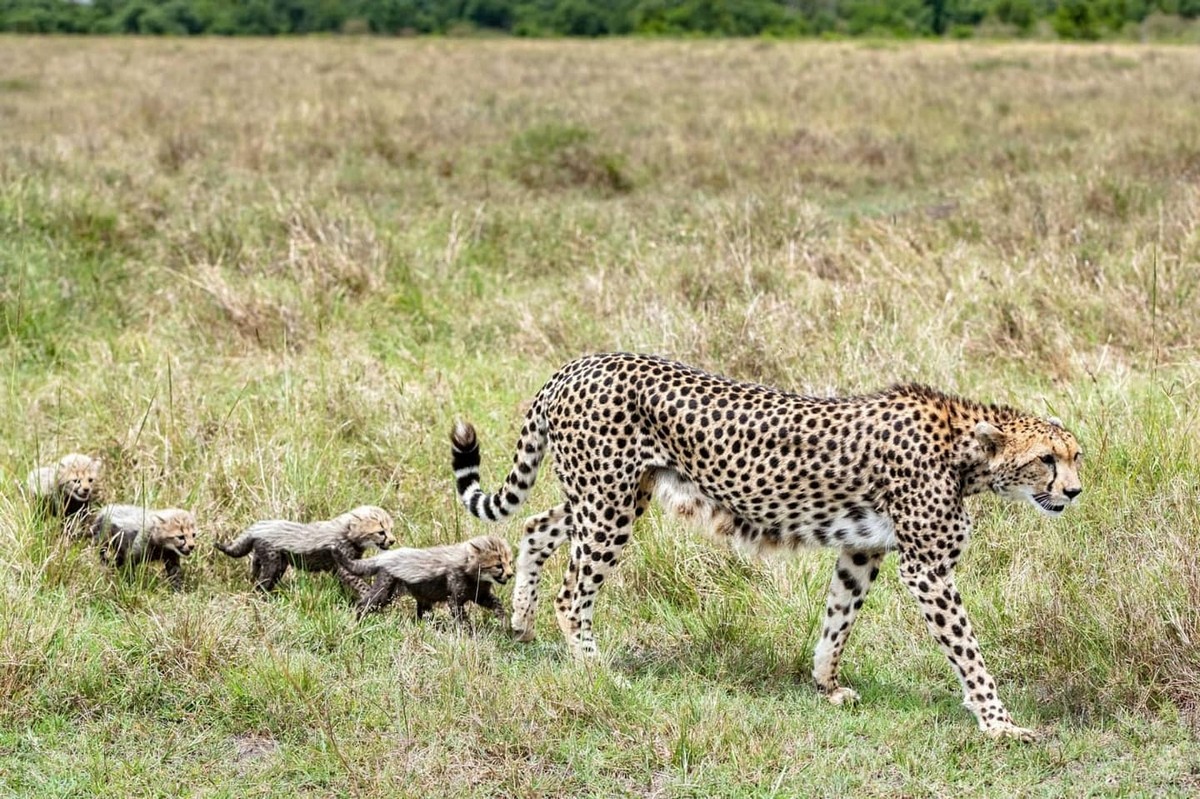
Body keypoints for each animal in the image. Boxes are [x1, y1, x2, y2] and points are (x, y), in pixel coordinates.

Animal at [451, 352, 1089, 739]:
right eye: (1045, 460)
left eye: (1075, 455)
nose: (1075, 491)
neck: (966, 451)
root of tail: (578, 363)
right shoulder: (927, 568)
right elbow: (969, 654)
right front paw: (1000, 724)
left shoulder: (863, 550)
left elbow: (837, 620)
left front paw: (826, 685)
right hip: (607, 506)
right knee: (573, 592)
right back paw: (595, 669)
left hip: (614, 497)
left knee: (536, 526)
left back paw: (521, 622)